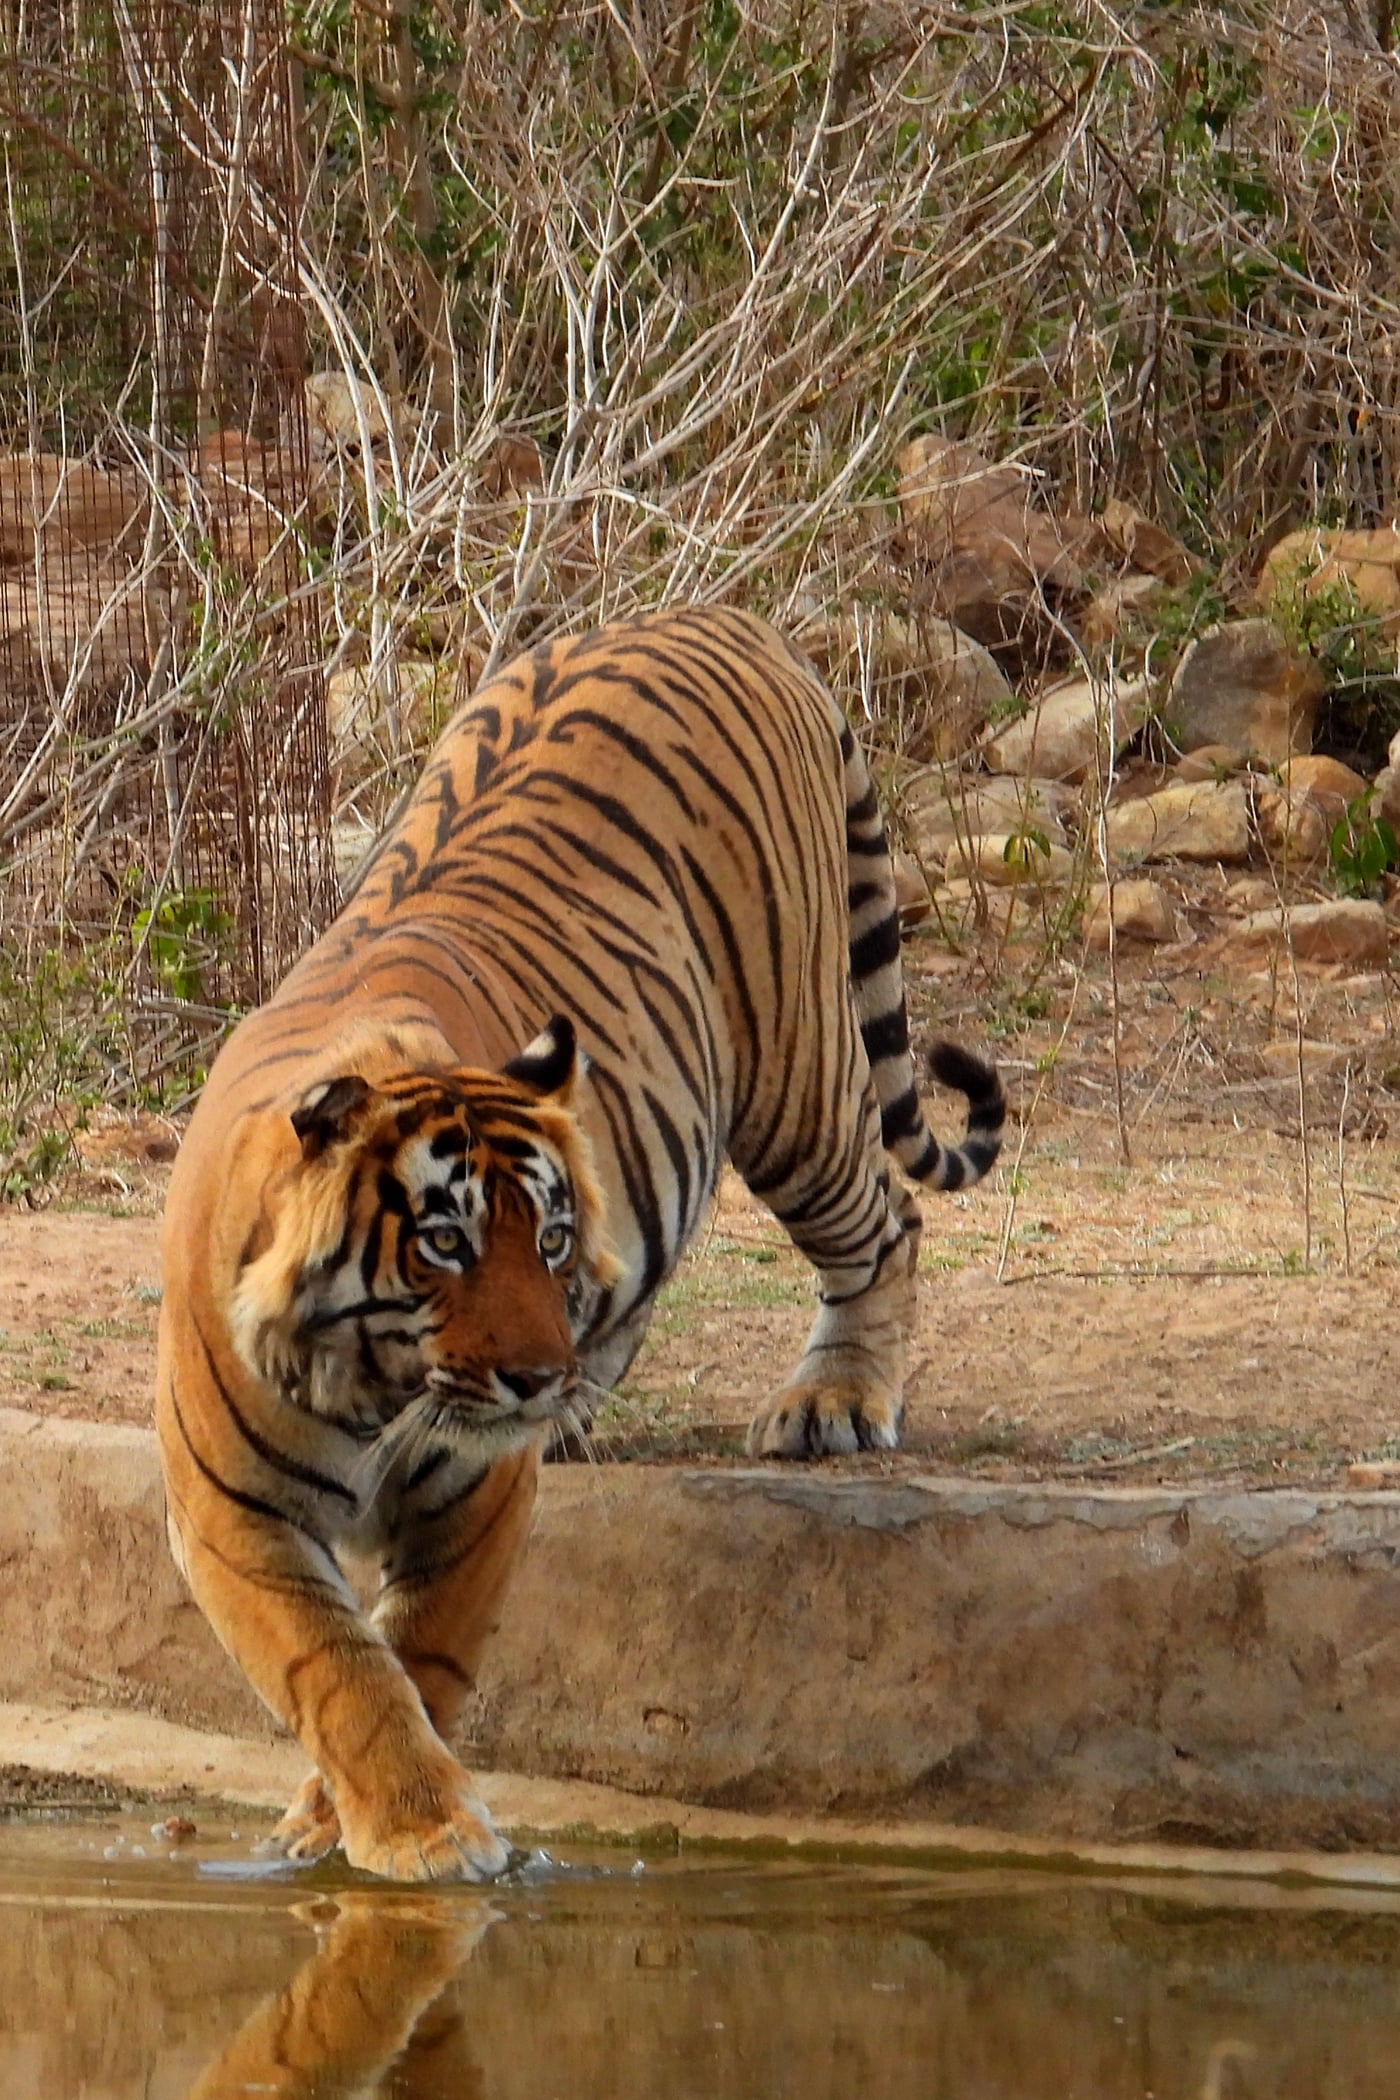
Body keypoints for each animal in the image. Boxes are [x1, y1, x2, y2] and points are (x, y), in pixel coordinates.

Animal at [155, 604, 1005, 1883]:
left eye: (547, 1239)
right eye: (443, 1244)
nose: (531, 1376)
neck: (370, 1387)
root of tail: (726, 615)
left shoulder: (472, 1498)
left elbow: (417, 1660)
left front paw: (394, 1829)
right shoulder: (234, 1515)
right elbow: (336, 1670)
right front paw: (390, 1824)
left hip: (792, 1080)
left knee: (884, 1223)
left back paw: (832, 1399)